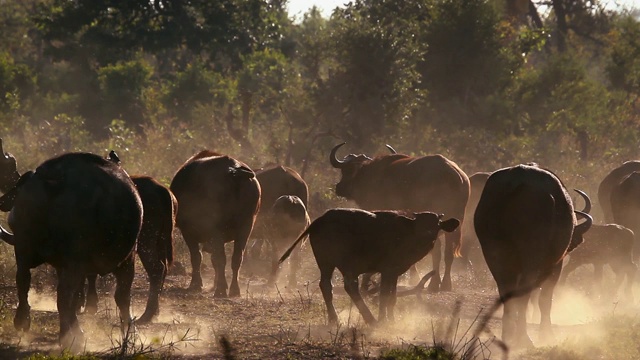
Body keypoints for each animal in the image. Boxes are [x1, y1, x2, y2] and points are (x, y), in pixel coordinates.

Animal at [0, 153, 142, 348]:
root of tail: (52, 179)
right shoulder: (128, 258)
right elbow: (122, 296)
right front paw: (130, 331)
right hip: (74, 260)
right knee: (64, 295)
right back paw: (71, 337)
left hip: (23, 248)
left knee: (23, 281)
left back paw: (23, 321)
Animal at [171, 150, 262, 296]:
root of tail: (234, 171)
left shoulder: (188, 232)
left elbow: (197, 257)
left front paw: (196, 284)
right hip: (246, 226)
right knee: (237, 258)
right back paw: (234, 290)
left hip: (216, 228)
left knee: (221, 258)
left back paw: (220, 289)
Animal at [280, 208, 460, 324]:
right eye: (420, 225)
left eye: (436, 224)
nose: (428, 235)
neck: (406, 233)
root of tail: (321, 219)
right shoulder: (387, 270)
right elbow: (384, 295)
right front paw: (383, 319)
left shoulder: (394, 272)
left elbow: (392, 296)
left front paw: (391, 319)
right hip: (340, 264)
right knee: (349, 286)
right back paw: (370, 319)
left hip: (326, 263)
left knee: (327, 286)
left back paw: (335, 318)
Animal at [330, 142, 470, 292]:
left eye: (346, 170)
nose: (339, 187)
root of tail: (453, 176)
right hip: (456, 222)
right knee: (448, 253)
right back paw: (445, 284)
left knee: (436, 251)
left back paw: (434, 283)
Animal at [472, 164, 592, 348]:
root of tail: (516, 178)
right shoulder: (555, 266)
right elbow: (545, 299)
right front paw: (547, 334)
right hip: (531, 256)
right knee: (524, 293)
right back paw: (524, 338)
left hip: (493, 252)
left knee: (506, 291)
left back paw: (508, 335)